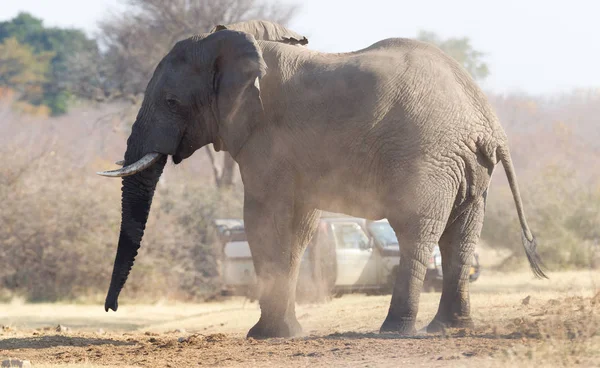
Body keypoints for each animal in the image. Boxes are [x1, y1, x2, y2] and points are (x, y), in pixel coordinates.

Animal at [97, 20, 544, 338]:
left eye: (171, 102)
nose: (110, 308)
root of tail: (486, 119)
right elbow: (300, 228)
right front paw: (287, 333)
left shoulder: (267, 140)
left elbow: (262, 218)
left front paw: (262, 336)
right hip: (467, 165)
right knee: (461, 236)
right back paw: (448, 329)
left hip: (429, 157)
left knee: (416, 233)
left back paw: (394, 332)